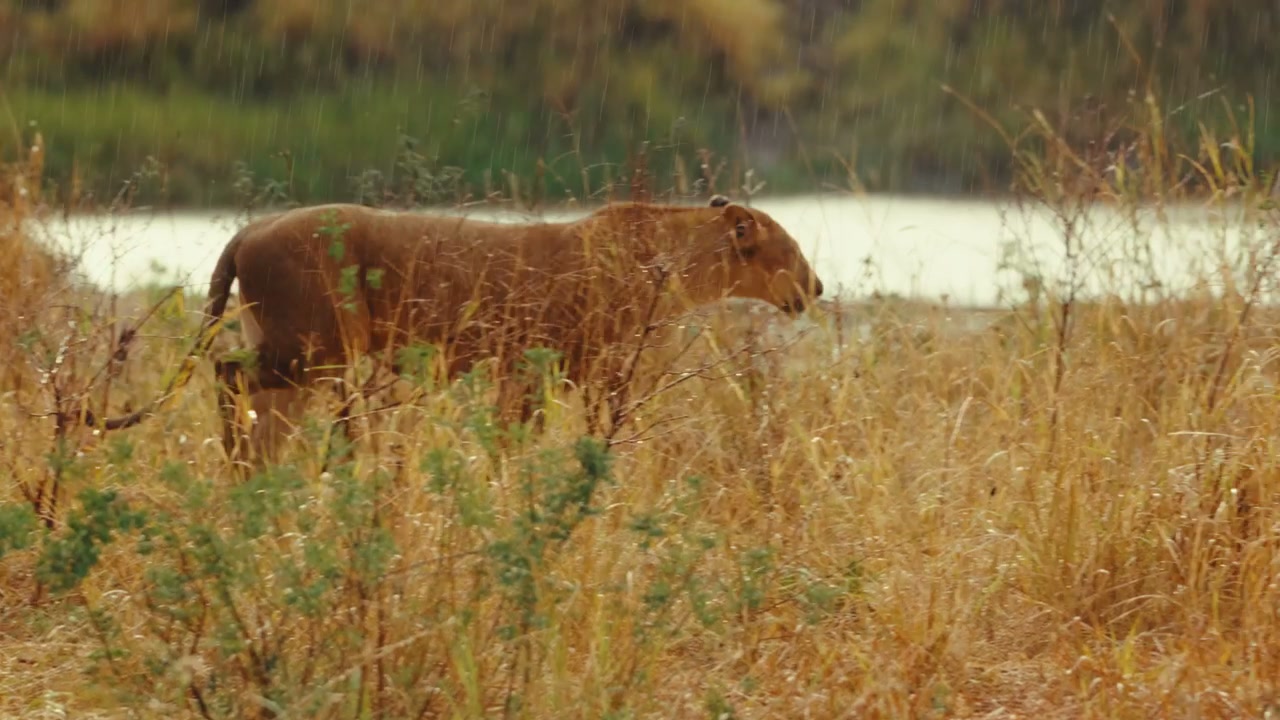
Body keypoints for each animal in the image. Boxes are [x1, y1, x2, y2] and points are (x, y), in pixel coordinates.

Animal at [90, 194, 825, 462]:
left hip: (297, 358)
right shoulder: (567, 367)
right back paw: (251, 470)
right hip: (309, 349)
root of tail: (249, 229)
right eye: (789, 247)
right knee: (225, 374)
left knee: (256, 406)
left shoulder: (530, 372)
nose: (817, 286)